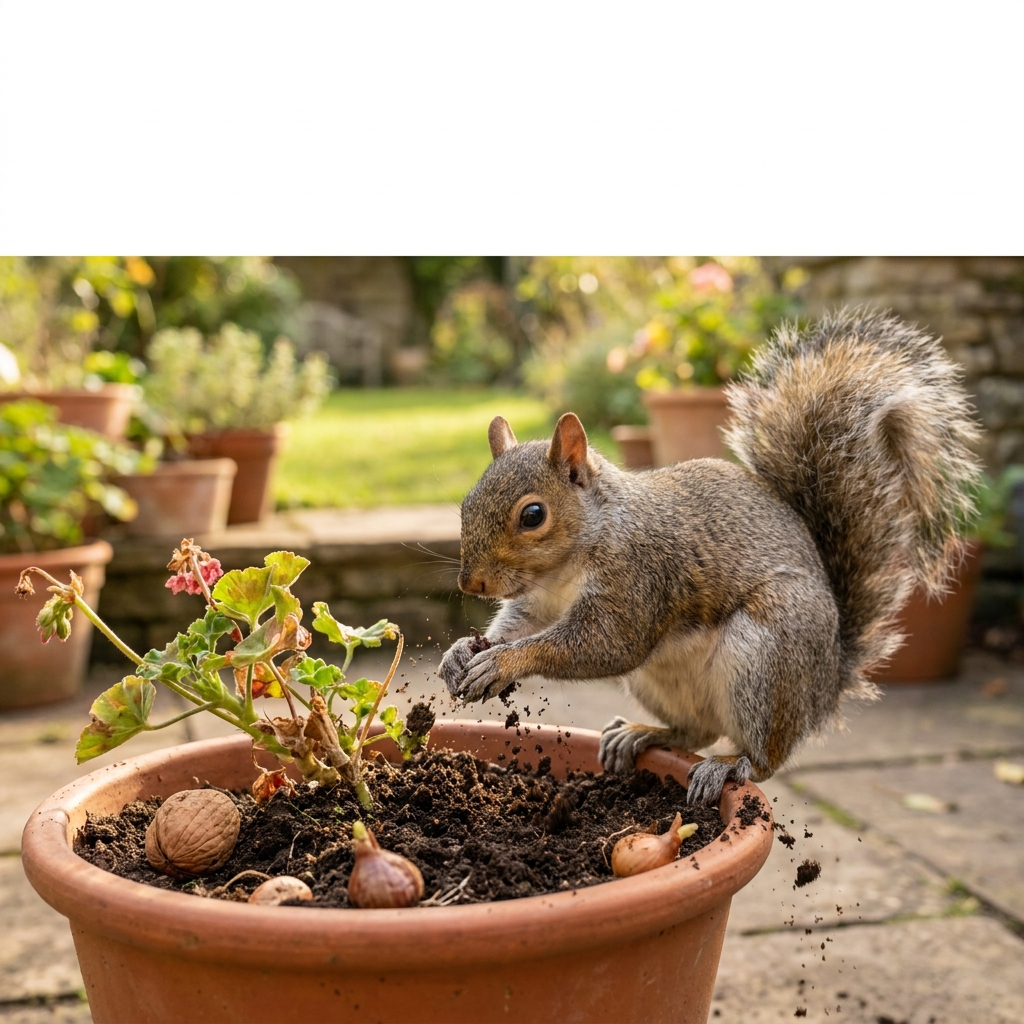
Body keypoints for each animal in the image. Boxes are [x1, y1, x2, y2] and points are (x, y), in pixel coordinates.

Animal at [438, 310, 982, 805]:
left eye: (533, 515)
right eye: (464, 502)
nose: (471, 584)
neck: (564, 569)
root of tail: (824, 686)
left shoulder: (637, 579)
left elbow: (604, 644)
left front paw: (503, 661)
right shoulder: (538, 602)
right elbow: (518, 624)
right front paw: (462, 653)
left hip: (766, 658)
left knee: (762, 757)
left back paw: (728, 765)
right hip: (661, 683)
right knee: (695, 732)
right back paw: (641, 734)